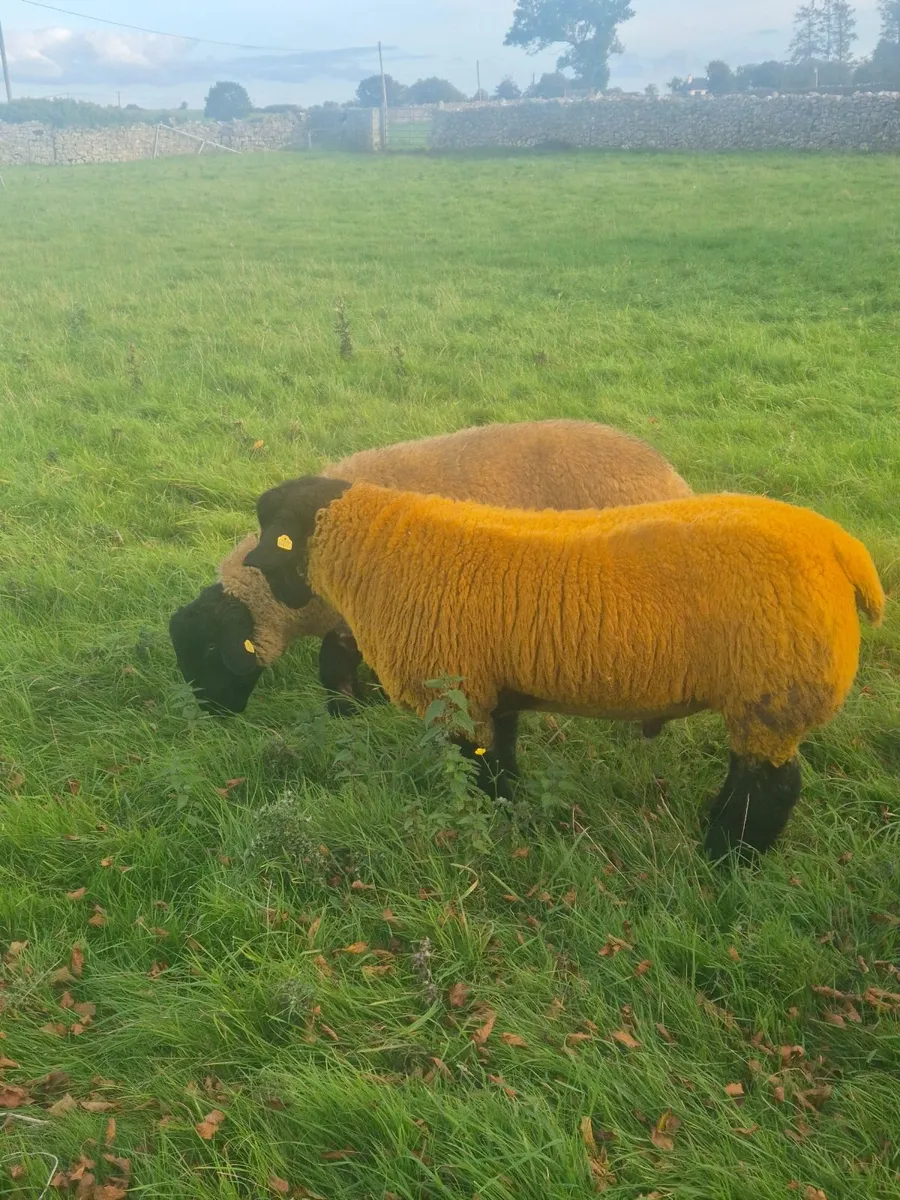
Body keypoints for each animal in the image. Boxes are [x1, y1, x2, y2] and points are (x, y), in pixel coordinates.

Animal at [243, 479, 884, 859]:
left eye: (276, 542)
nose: (276, 588)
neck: (382, 552)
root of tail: (839, 548)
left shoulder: (459, 690)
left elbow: (478, 769)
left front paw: (492, 825)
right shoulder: (491, 689)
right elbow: (499, 759)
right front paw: (510, 811)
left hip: (772, 693)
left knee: (771, 786)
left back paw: (727, 852)